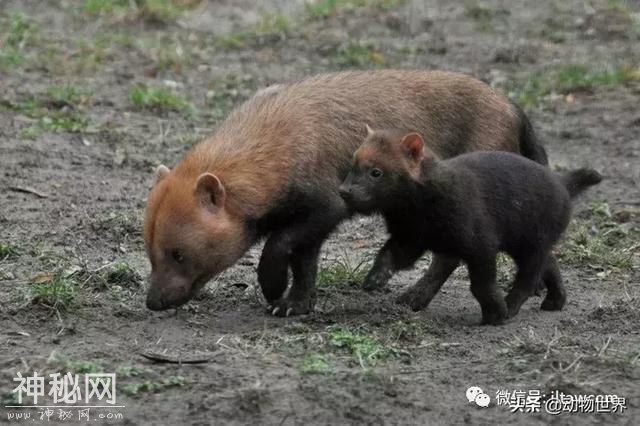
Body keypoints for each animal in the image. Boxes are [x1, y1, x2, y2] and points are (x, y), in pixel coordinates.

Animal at [144, 70, 552, 316]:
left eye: (178, 254)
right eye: (150, 251)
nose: (152, 302)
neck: (274, 144)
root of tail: (513, 108)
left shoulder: (325, 205)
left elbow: (278, 247)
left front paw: (274, 289)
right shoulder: (308, 224)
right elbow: (304, 264)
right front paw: (297, 304)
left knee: (451, 254)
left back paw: (414, 297)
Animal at [340, 128, 600, 324]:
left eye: (376, 172)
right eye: (352, 164)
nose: (344, 191)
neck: (419, 210)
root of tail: (562, 182)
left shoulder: (481, 244)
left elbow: (481, 285)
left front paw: (495, 313)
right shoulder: (409, 238)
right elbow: (388, 256)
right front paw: (374, 279)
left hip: (531, 243)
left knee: (529, 278)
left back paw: (511, 306)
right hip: (529, 242)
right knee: (551, 263)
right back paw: (555, 301)